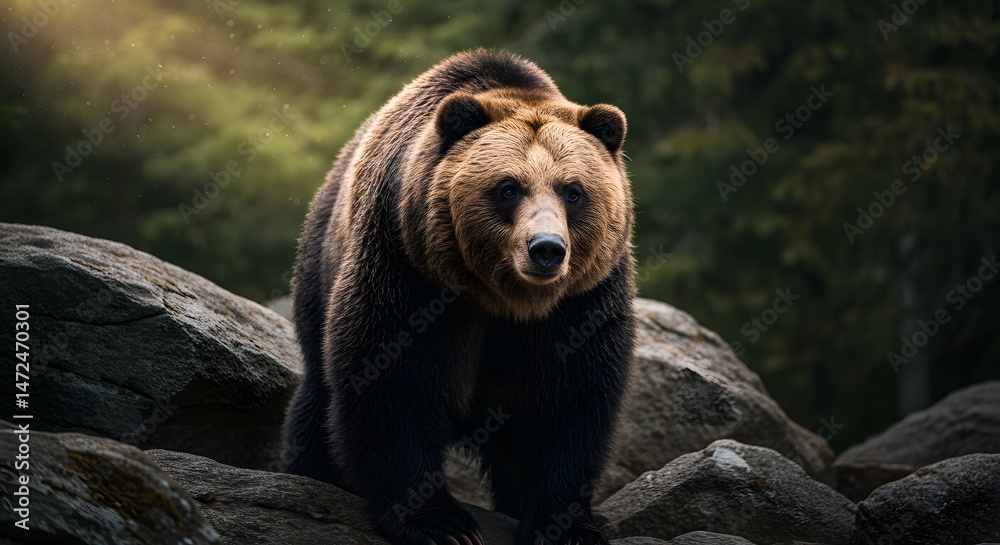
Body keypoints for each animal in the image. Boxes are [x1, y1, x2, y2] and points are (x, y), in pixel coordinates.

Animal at [283, 49, 636, 545]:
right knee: (316, 406)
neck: (503, 297)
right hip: (319, 270)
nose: (546, 249)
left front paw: (568, 526)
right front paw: (441, 524)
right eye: (508, 188)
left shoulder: (581, 300)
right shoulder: (407, 267)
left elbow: (570, 400)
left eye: (573, 191)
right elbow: (395, 382)